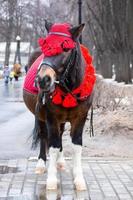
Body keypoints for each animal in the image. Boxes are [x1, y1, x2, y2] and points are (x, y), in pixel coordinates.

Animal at [22, 20, 95, 191]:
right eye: (46, 47)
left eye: (66, 48)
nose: (42, 79)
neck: (68, 88)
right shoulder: (51, 117)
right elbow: (53, 145)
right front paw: (51, 180)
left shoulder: (80, 117)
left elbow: (76, 145)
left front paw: (79, 179)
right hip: (41, 116)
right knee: (44, 136)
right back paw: (41, 164)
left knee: (60, 134)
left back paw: (61, 162)